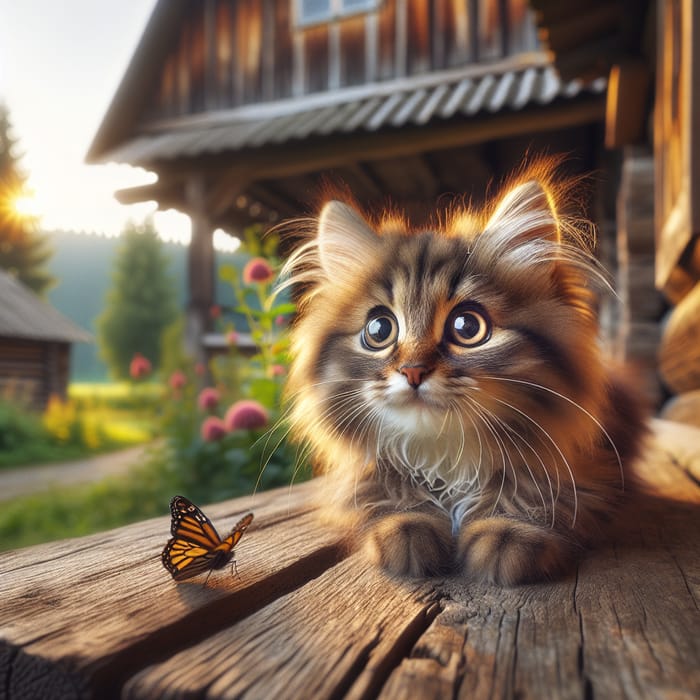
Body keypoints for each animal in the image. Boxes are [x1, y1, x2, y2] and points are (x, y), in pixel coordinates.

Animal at [278, 165, 644, 584]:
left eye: (467, 326)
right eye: (379, 330)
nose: (413, 371)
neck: (445, 459)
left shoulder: (591, 471)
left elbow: (535, 493)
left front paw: (506, 531)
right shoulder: (362, 479)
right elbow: (385, 495)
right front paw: (404, 526)